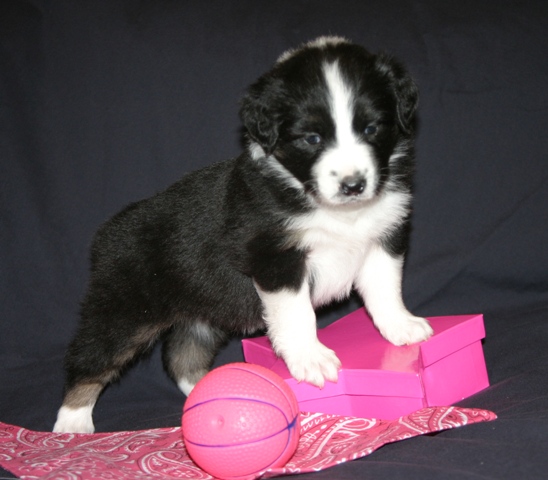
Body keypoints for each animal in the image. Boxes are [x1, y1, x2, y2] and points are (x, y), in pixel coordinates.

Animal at [53, 36, 433, 433]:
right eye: (312, 138)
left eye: (372, 129)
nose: (353, 185)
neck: (334, 210)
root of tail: (108, 233)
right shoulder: (275, 257)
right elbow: (298, 314)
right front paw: (311, 358)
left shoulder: (384, 235)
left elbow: (384, 289)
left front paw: (402, 327)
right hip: (124, 311)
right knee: (89, 359)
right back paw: (72, 424)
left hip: (200, 315)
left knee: (181, 357)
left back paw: (210, 390)